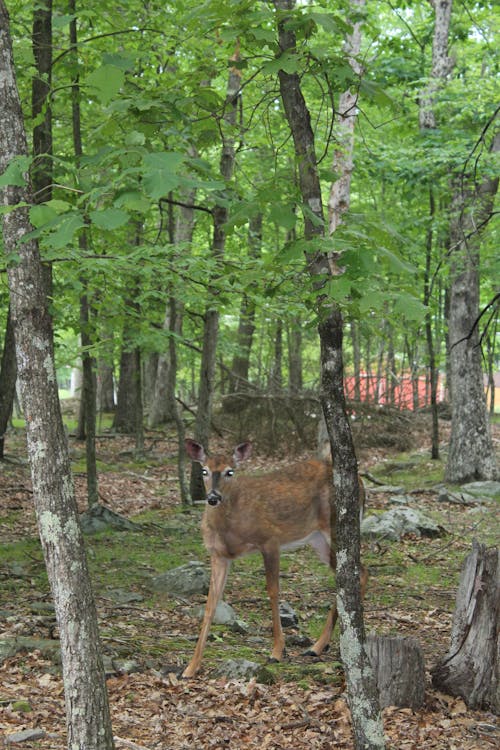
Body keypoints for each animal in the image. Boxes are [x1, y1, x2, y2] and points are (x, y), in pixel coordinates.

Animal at [182, 438, 366, 680]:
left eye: (230, 471)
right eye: (204, 470)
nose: (213, 498)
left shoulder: (270, 540)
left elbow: (273, 591)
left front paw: (277, 651)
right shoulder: (218, 555)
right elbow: (211, 603)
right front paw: (190, 667)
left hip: (336, 526)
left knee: (357, 573)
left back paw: (325, 644)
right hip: (317, 540)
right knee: (351, 574)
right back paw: (317, 647)